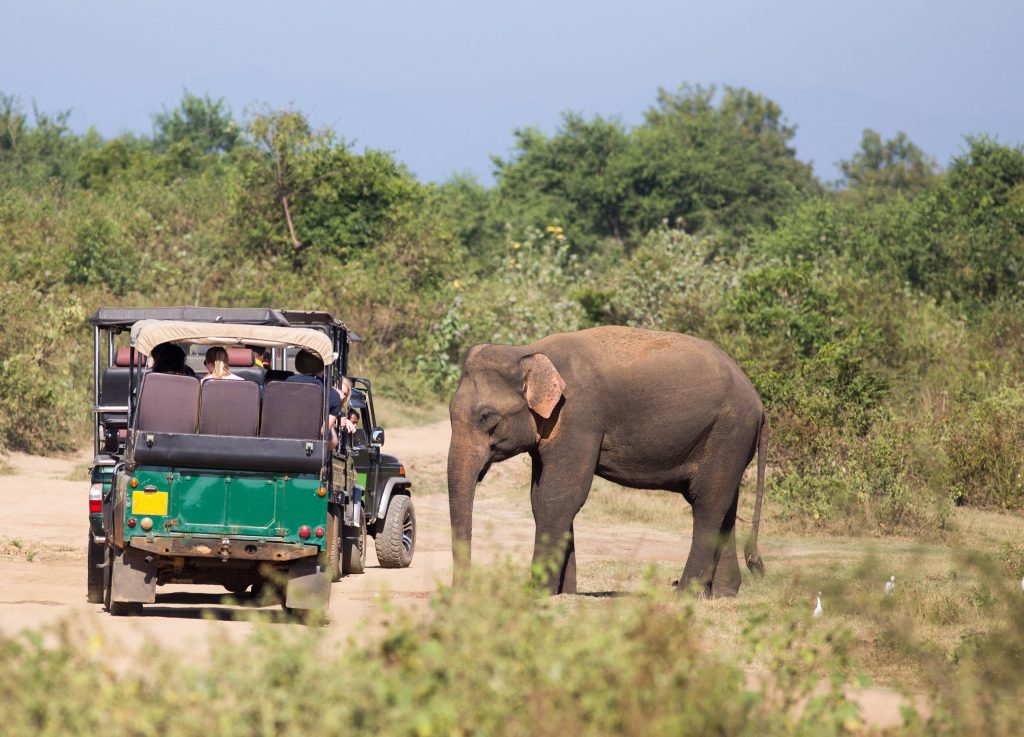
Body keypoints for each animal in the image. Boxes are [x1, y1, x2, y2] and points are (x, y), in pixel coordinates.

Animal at [444, 325, 765, 597]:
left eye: (486, 417)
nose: (461, 591)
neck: (529, 352)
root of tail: (759, 402)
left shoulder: (579, 416)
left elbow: (559, 496)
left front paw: (539, 593)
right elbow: (539, 498)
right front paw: (565, 593)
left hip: (729, 432)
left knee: (707, 502)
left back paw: (684, 594)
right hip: (726, 440)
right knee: (725, 504)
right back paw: (722, 594)